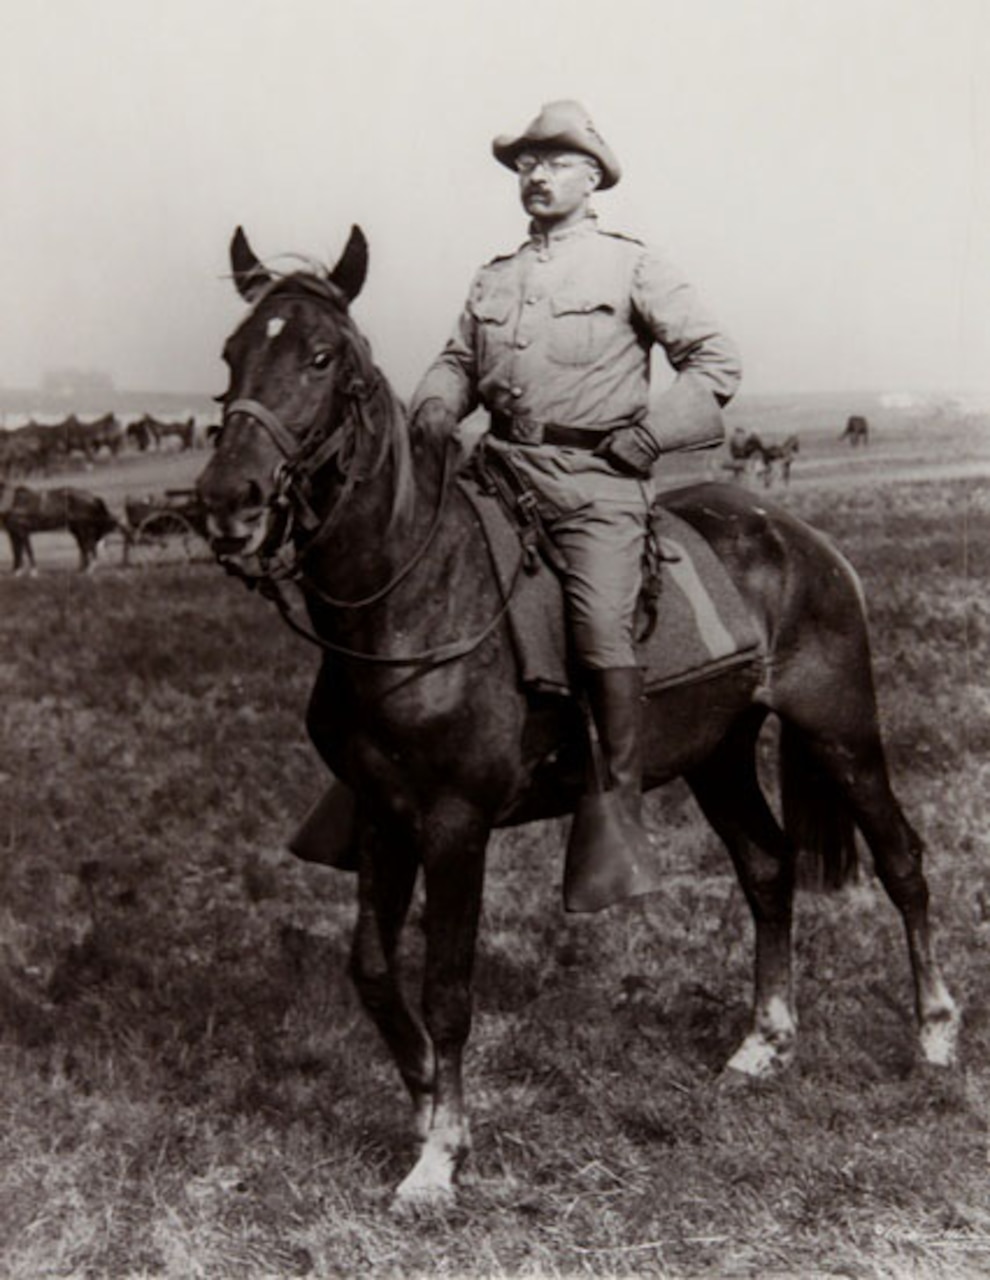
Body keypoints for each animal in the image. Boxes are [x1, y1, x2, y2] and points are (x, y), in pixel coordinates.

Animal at [193, 227, 957, 1208]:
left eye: (323, 358)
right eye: (232, 354)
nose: (227, 504)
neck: (413, 594)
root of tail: (801, 538)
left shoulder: (453, 825)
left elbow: (447, 989)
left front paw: (441, 1156)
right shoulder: (380, 816)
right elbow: (370, 970)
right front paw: (423, 1104)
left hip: (841, 730)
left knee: (902, 862)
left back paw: (934, 1033)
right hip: (717, 756)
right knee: (767, 869)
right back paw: (764, 1042)